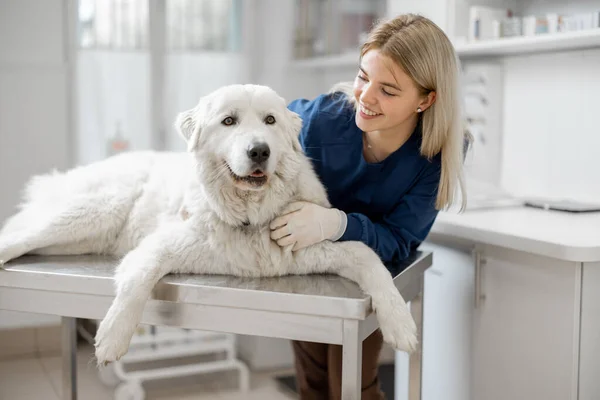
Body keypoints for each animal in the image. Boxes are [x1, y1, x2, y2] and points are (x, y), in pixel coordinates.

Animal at [0, 83, 418, 362]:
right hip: (95, 210)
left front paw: (400, 324)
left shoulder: (310, 247)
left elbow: (368, 258)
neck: (250, 218)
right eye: (228, 121)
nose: (259, 151)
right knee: (20, 236)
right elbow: (138, 280)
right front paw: (114, 337)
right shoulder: (159, 246)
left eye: (270, 120)